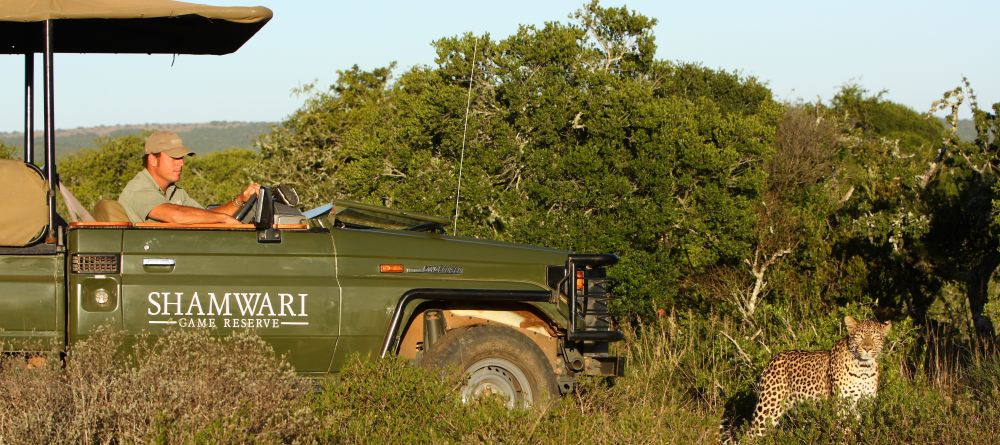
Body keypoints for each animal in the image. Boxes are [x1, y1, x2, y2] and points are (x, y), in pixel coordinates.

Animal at [746, 315, 891, 438]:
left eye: (876, 337)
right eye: (859, 336)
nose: (867, 348)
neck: (863, 369)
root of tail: (773, 359)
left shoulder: (866, 404)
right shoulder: (843, 405)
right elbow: (845, 430)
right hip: (769, 408)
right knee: (751, 435)